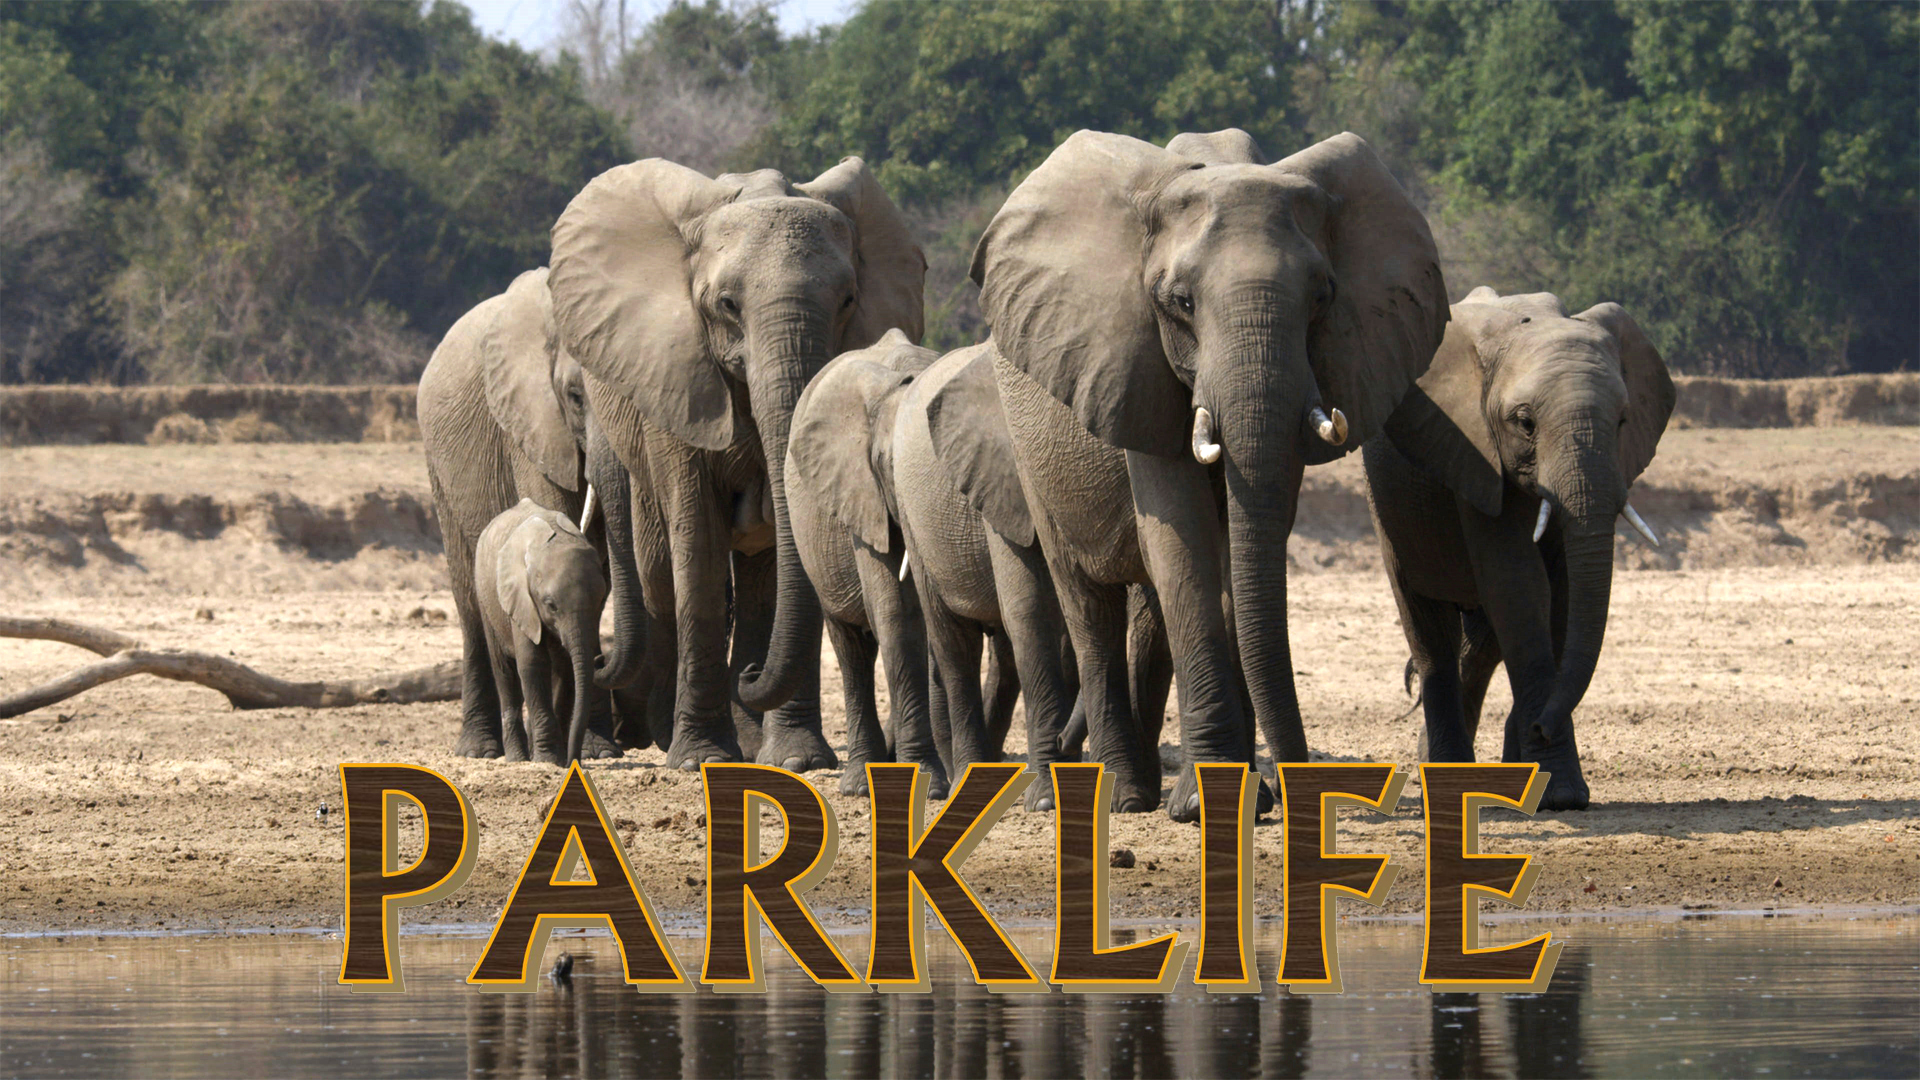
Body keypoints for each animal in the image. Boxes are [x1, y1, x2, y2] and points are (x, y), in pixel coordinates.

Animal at [473, 499, 610, 765]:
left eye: (601, 601)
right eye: (550, 605)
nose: (574, 760)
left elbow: (566, 670)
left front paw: (555, 758)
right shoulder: (521, 599)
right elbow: (532, 664)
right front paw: (546, 759)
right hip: (486, 598)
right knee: (504, 671)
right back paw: (517, 759)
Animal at [547, 157, 926, 773]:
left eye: (847, 300)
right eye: (726, 304)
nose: (751, 676)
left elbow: (778, 553)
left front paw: (798, 762)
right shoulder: (675, 384)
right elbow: (698, 548)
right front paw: (699, 759)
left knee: (756, 581)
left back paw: (752, 741)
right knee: (662, 574)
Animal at [968, 128, 1448, 819]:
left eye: (1323, 298)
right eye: (1181, 303)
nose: (1294, 792)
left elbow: (1244, 544)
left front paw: (1248, 800)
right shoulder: (1134, 367)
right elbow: (1185, 535)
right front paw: (1204, 806)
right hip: (1028, 447)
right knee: (1088, 605)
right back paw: (1124, 796)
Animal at [1364, 286, 1675, 810]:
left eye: (1622, 421)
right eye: (1525, 423)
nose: (1540, 726)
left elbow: (1562, 594)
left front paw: (1548, 788)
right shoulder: (1474, 446)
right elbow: (1519, 584)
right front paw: (1559, 794)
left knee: (1481, 643)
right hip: (1389, 508)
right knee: (1430, 632)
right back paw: (1445, 779)